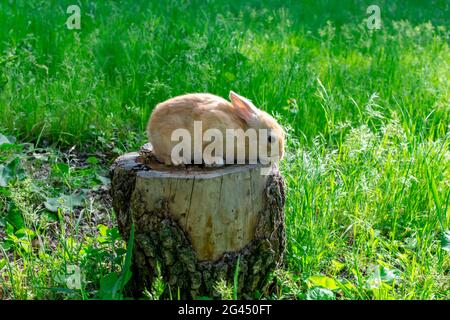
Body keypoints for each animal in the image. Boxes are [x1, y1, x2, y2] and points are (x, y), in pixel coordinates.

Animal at [148, 90, 284, 165]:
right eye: (270, 139)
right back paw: (179, 161)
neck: (246, 135)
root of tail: (150, 128)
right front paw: (215, 161)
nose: (280, 156)